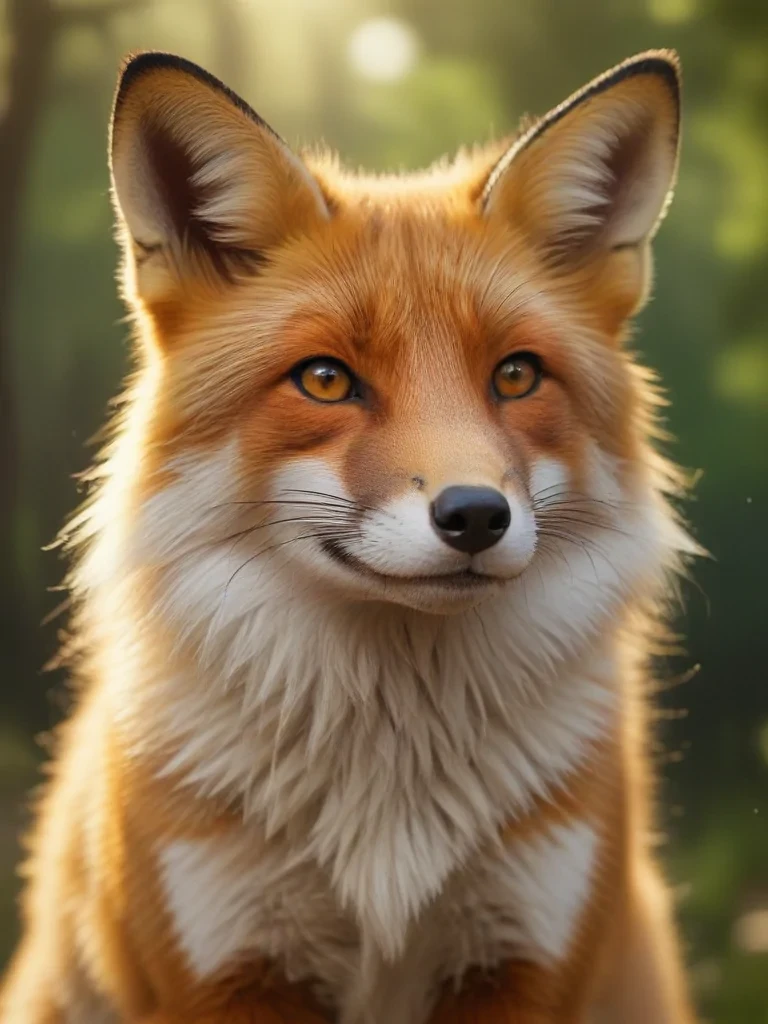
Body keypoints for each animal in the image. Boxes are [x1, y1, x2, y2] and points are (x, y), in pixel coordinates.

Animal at [1, 48, 698, 1024]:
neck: (389, 805)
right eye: (326, 380)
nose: (476, 515)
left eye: (516, 376)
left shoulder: (526, 960)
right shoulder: (231, 967)